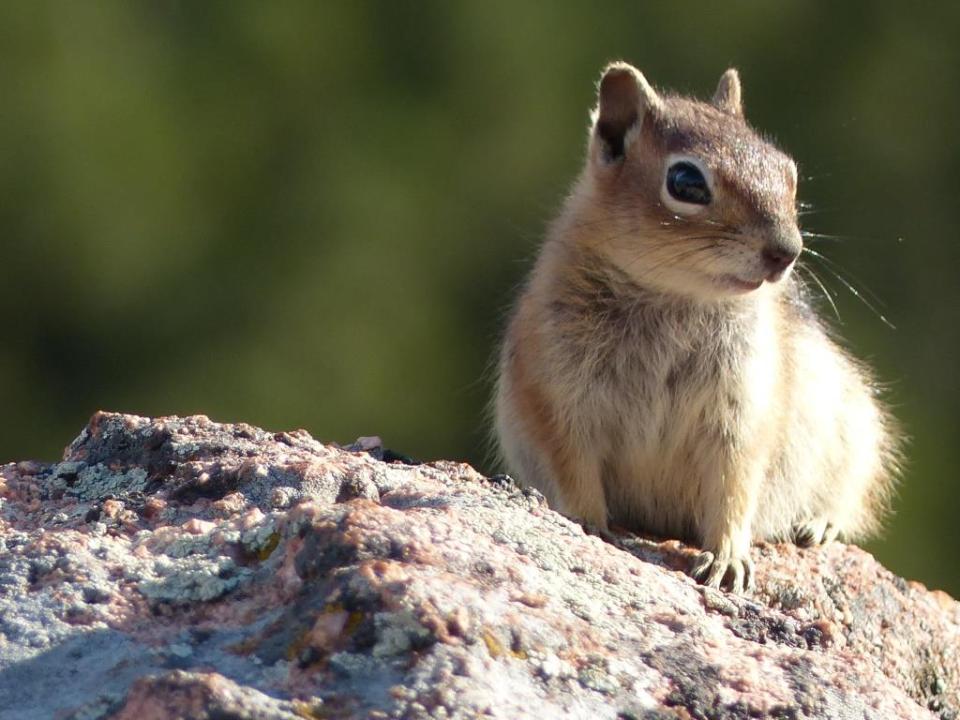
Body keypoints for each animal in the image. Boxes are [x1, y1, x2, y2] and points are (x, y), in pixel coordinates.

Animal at [494, 62, 901, 593]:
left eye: (789, 172)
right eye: (686, 182)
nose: (787, 251)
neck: (675, 296)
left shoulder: (744, 409)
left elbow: (734, 485)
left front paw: (728, 558)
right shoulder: (556, 394)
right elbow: (574, 467)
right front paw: (585, 523)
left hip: (855, 434)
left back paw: (818, 523)